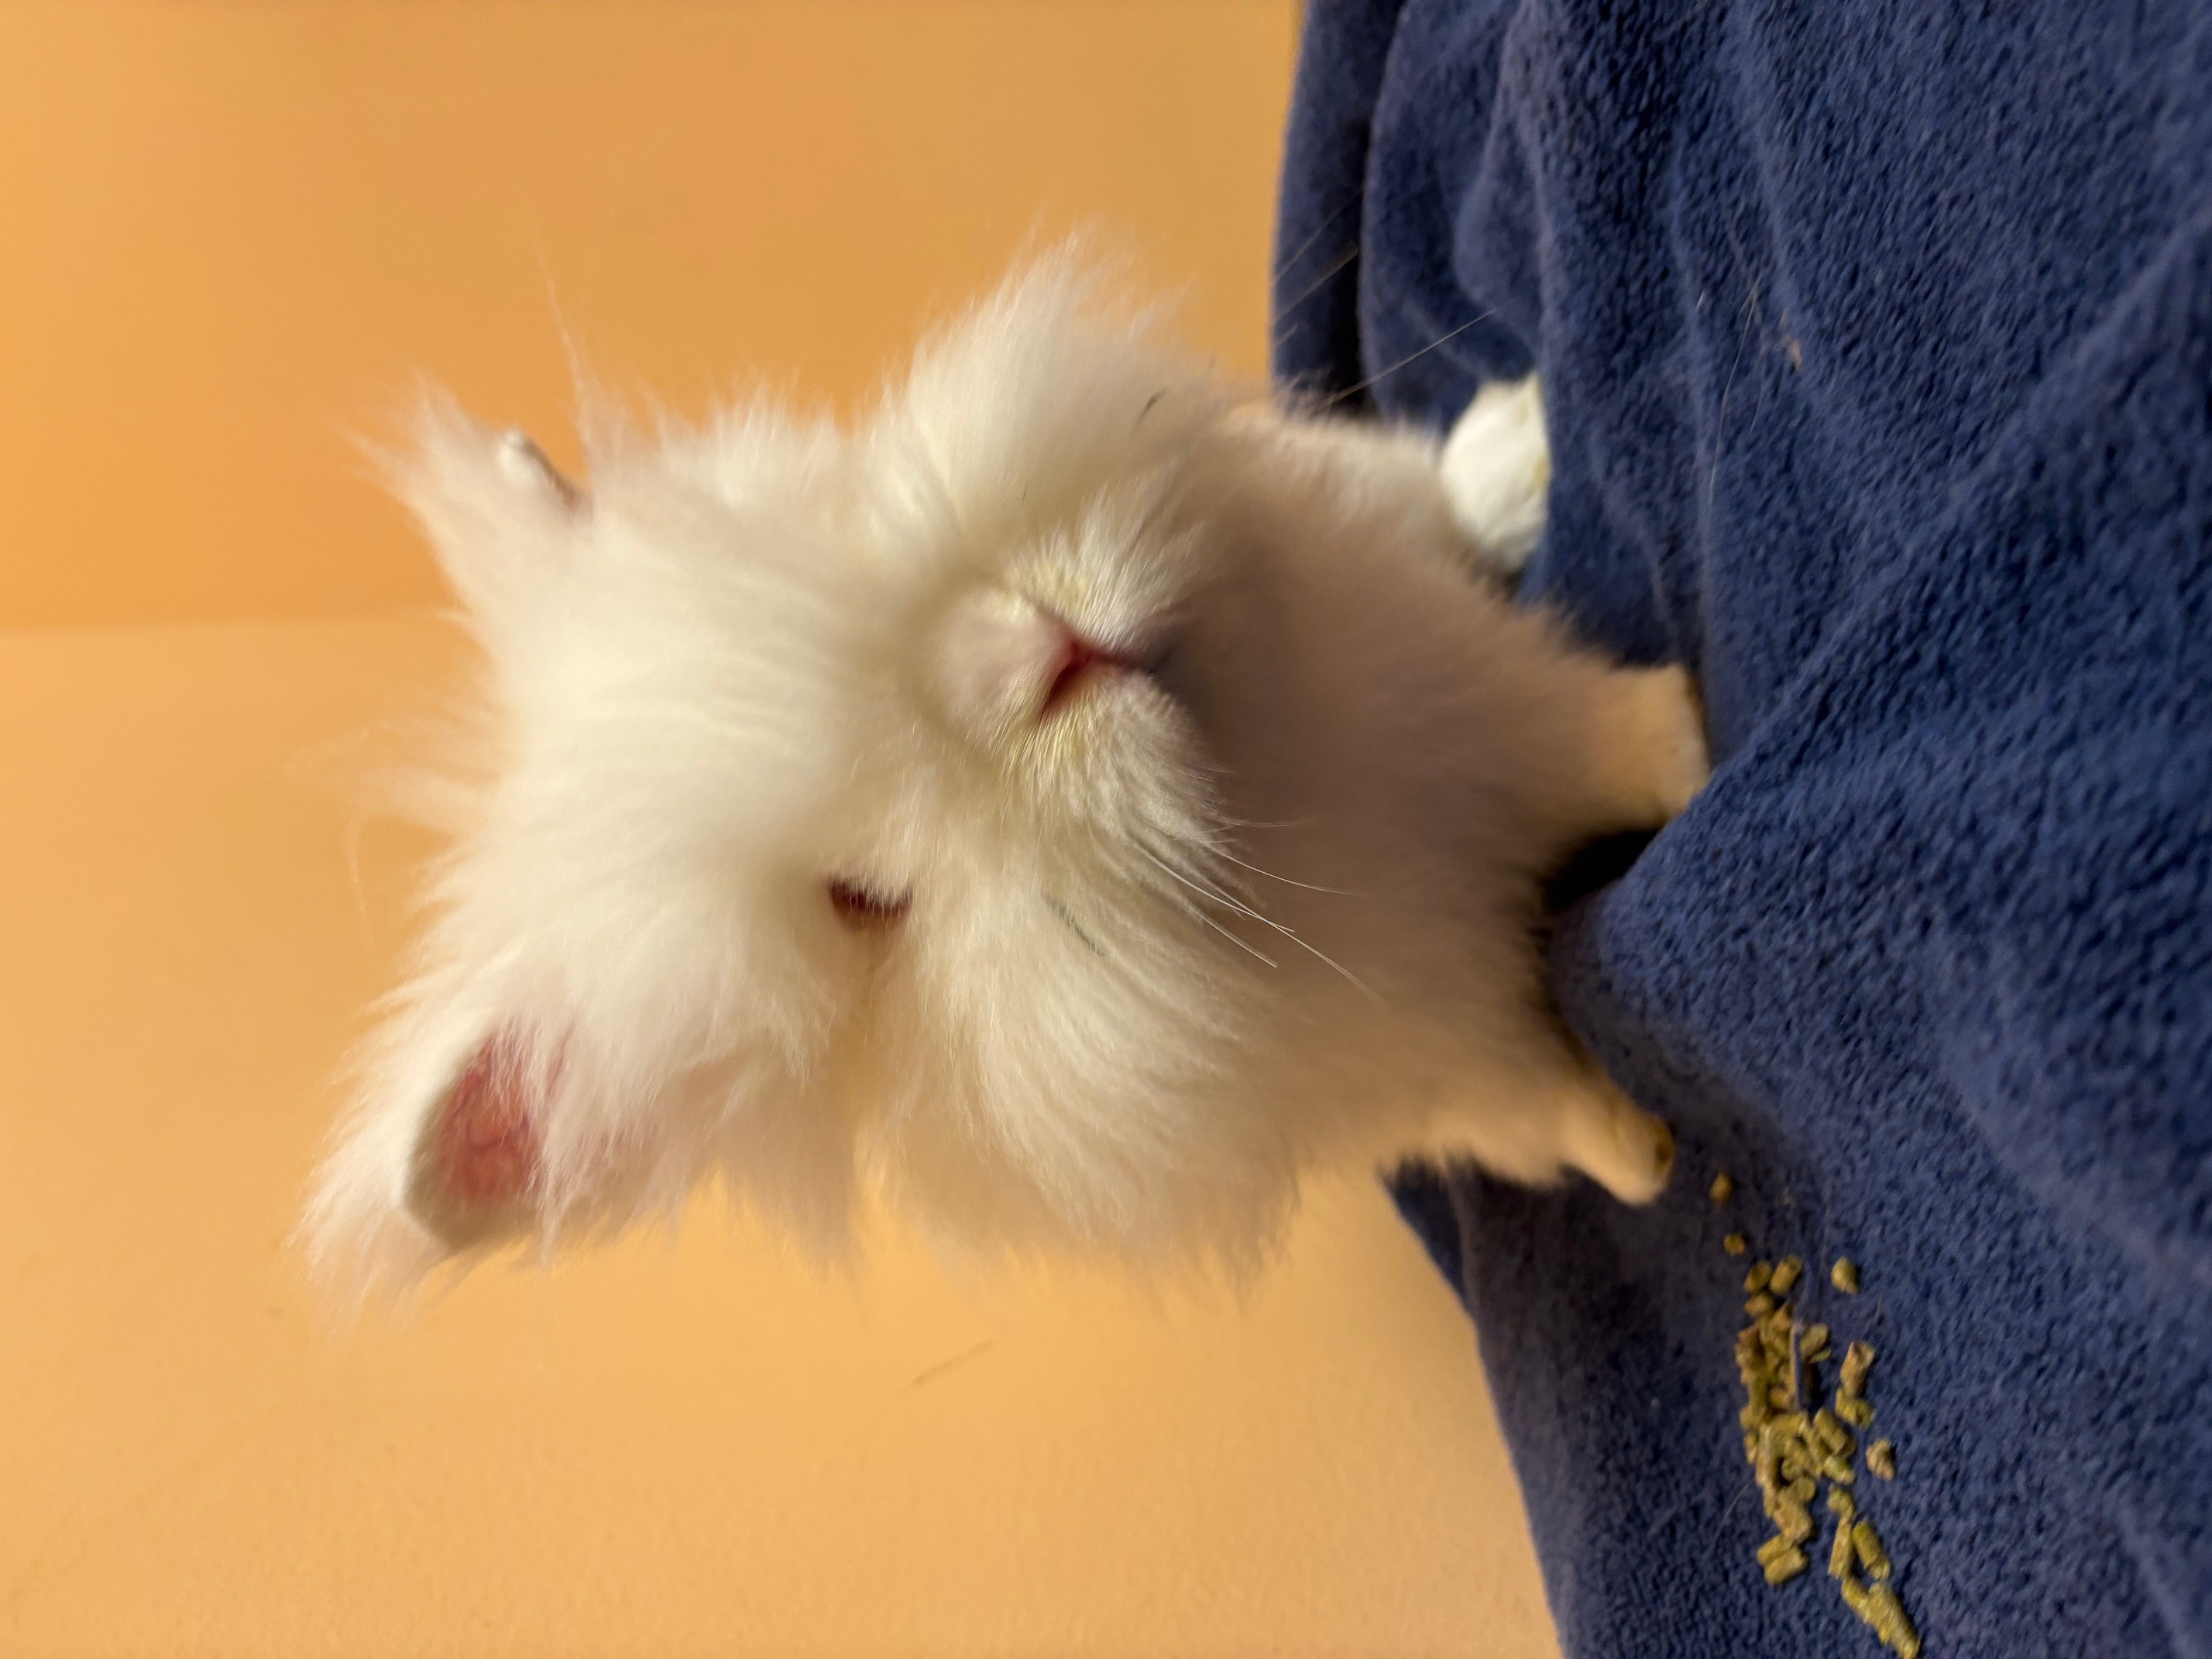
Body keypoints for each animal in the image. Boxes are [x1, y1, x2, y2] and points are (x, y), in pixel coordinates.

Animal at [304, 255, 1708, 1293]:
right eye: (864, 902)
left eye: (817, 525)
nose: (1038, 656)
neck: (1260, 804)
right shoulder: (1414, 1060)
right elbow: (1533, 1109)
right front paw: (1644, 1152)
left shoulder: (1465, 687)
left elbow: (1588, 731)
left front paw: (1687, 740)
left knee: (1431, 490)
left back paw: (1521, 444)